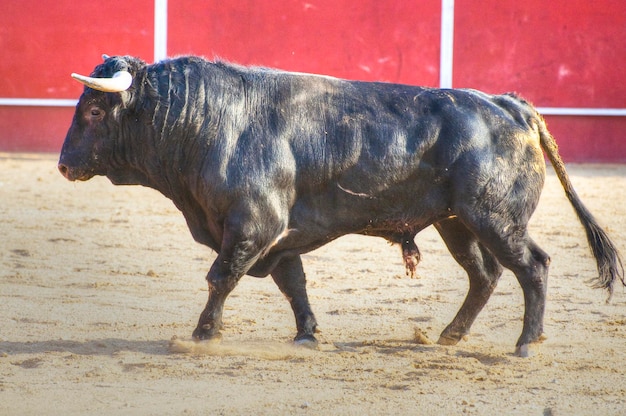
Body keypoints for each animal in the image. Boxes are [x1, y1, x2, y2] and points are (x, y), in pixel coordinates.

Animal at [57, 54, 620, 354]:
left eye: (93, 110)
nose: (62, 165)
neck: (205, 122)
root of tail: (511, 105)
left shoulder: (253, 225)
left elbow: (221, 277)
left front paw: (201, 334)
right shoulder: (278, 237)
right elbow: (294, 284)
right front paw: (307, 335)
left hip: (496, 218)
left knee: (533, 266)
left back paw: (525, 343)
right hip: (458, 222)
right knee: (485, 275)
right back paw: (448, 336)